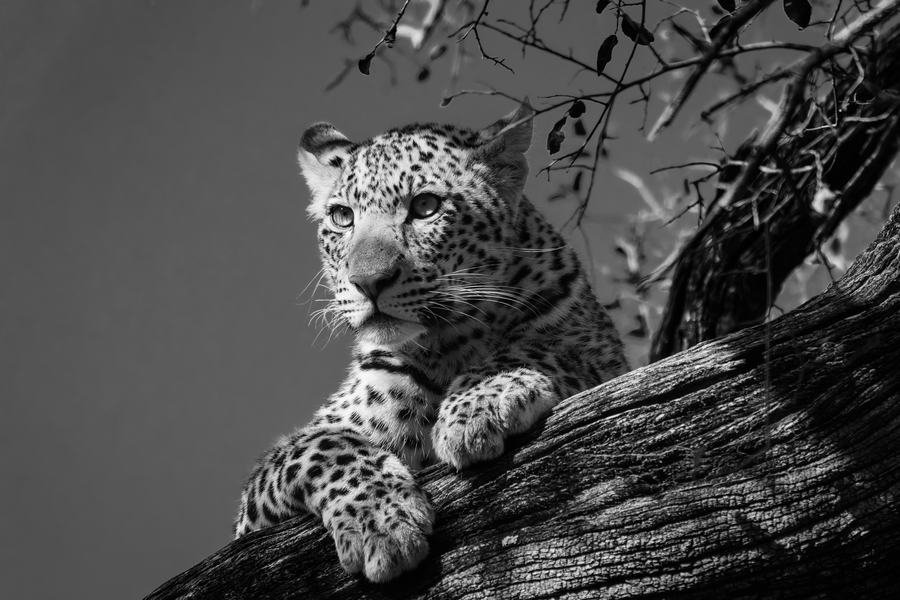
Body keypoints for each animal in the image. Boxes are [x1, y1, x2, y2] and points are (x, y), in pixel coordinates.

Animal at [233, 102, 628, 582]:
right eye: (343, 217)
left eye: (425, 207)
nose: (368, 282)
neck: (450, 340)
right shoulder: (253, 510)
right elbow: (322, 446)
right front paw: (381, 523)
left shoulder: (604, 359)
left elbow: (539, 349)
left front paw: (474, 407)